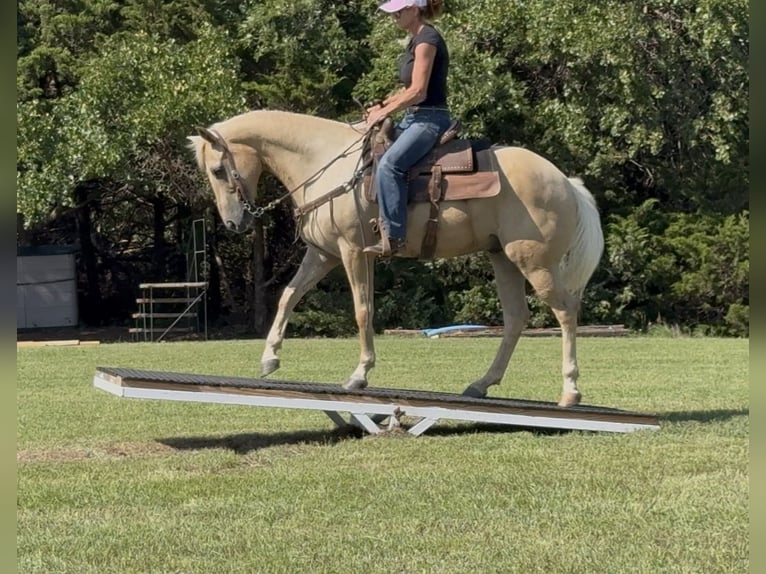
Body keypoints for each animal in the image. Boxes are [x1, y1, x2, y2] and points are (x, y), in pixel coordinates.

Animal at [188, 110, 604, 407]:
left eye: (219, 170)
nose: (234, 222)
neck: (324, 163)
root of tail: (565, 182)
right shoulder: (323, 254)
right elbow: (288, 297)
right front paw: (269, 359)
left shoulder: (352, 251)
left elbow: (362, 311)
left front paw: (360, 374)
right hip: (502, 257)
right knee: (516, 318)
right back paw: (481, 384)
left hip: (535, 263)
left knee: (565, 311)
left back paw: (570, 391)